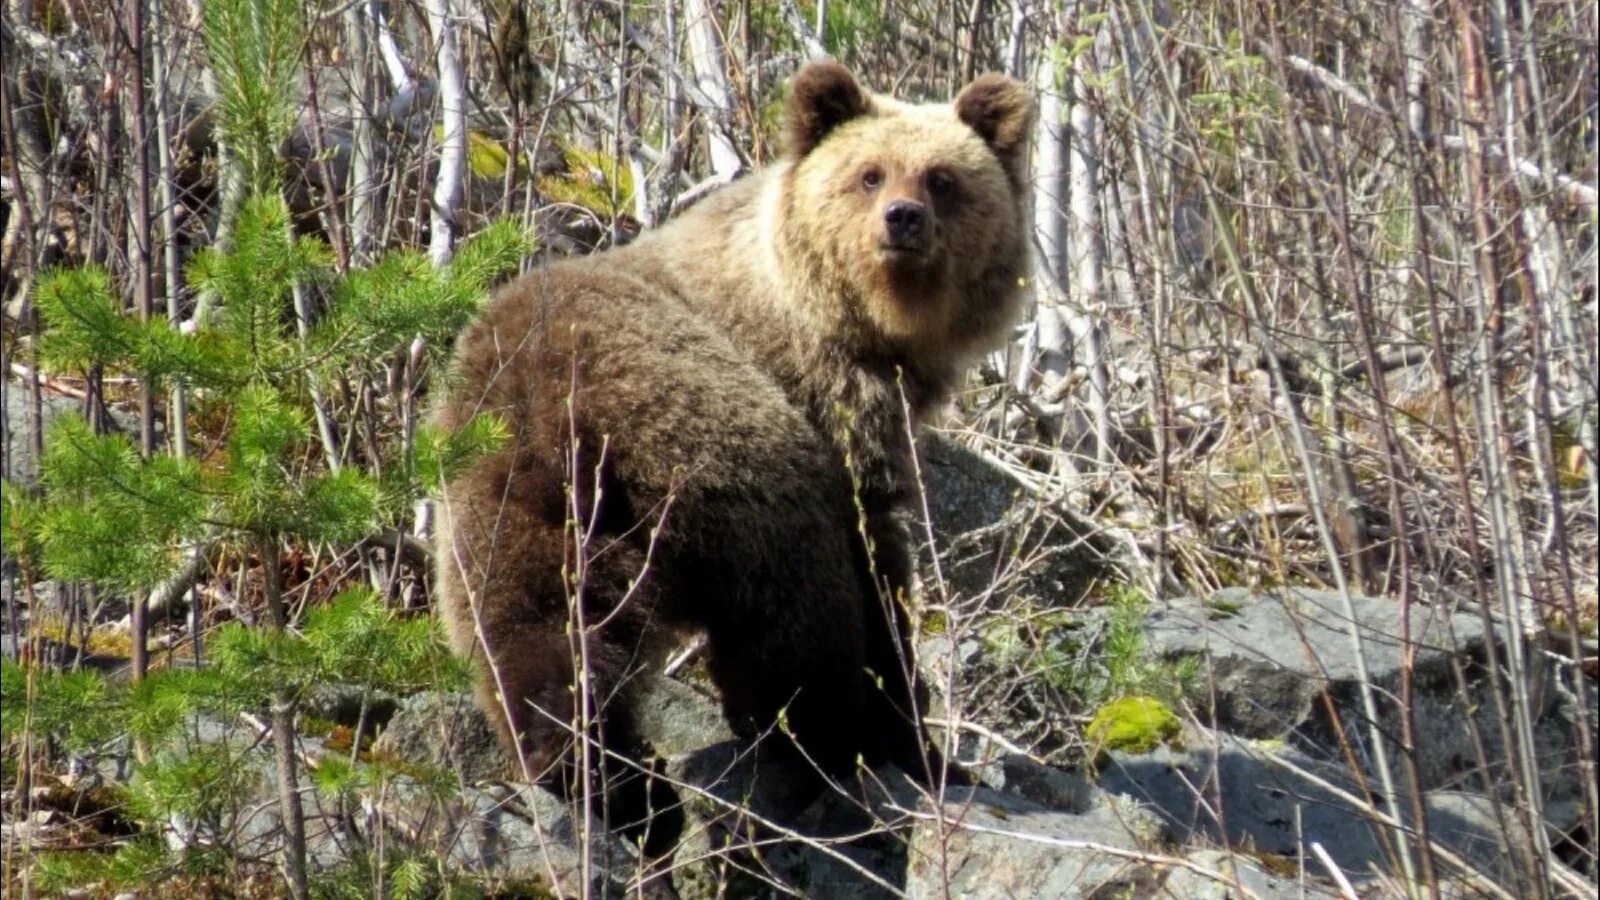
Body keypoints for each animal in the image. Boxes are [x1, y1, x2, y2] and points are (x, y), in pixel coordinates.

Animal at [432, 61, 1030, 851]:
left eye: (941, 178)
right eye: (870, 173)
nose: (903, 219)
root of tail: (561, 406)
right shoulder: (832, 412)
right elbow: (875, 567)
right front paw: (911, 734)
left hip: (501, 492)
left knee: (539, 634)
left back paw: (610, 785)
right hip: (721, 446)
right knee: (791, 615)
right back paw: (824, 749)